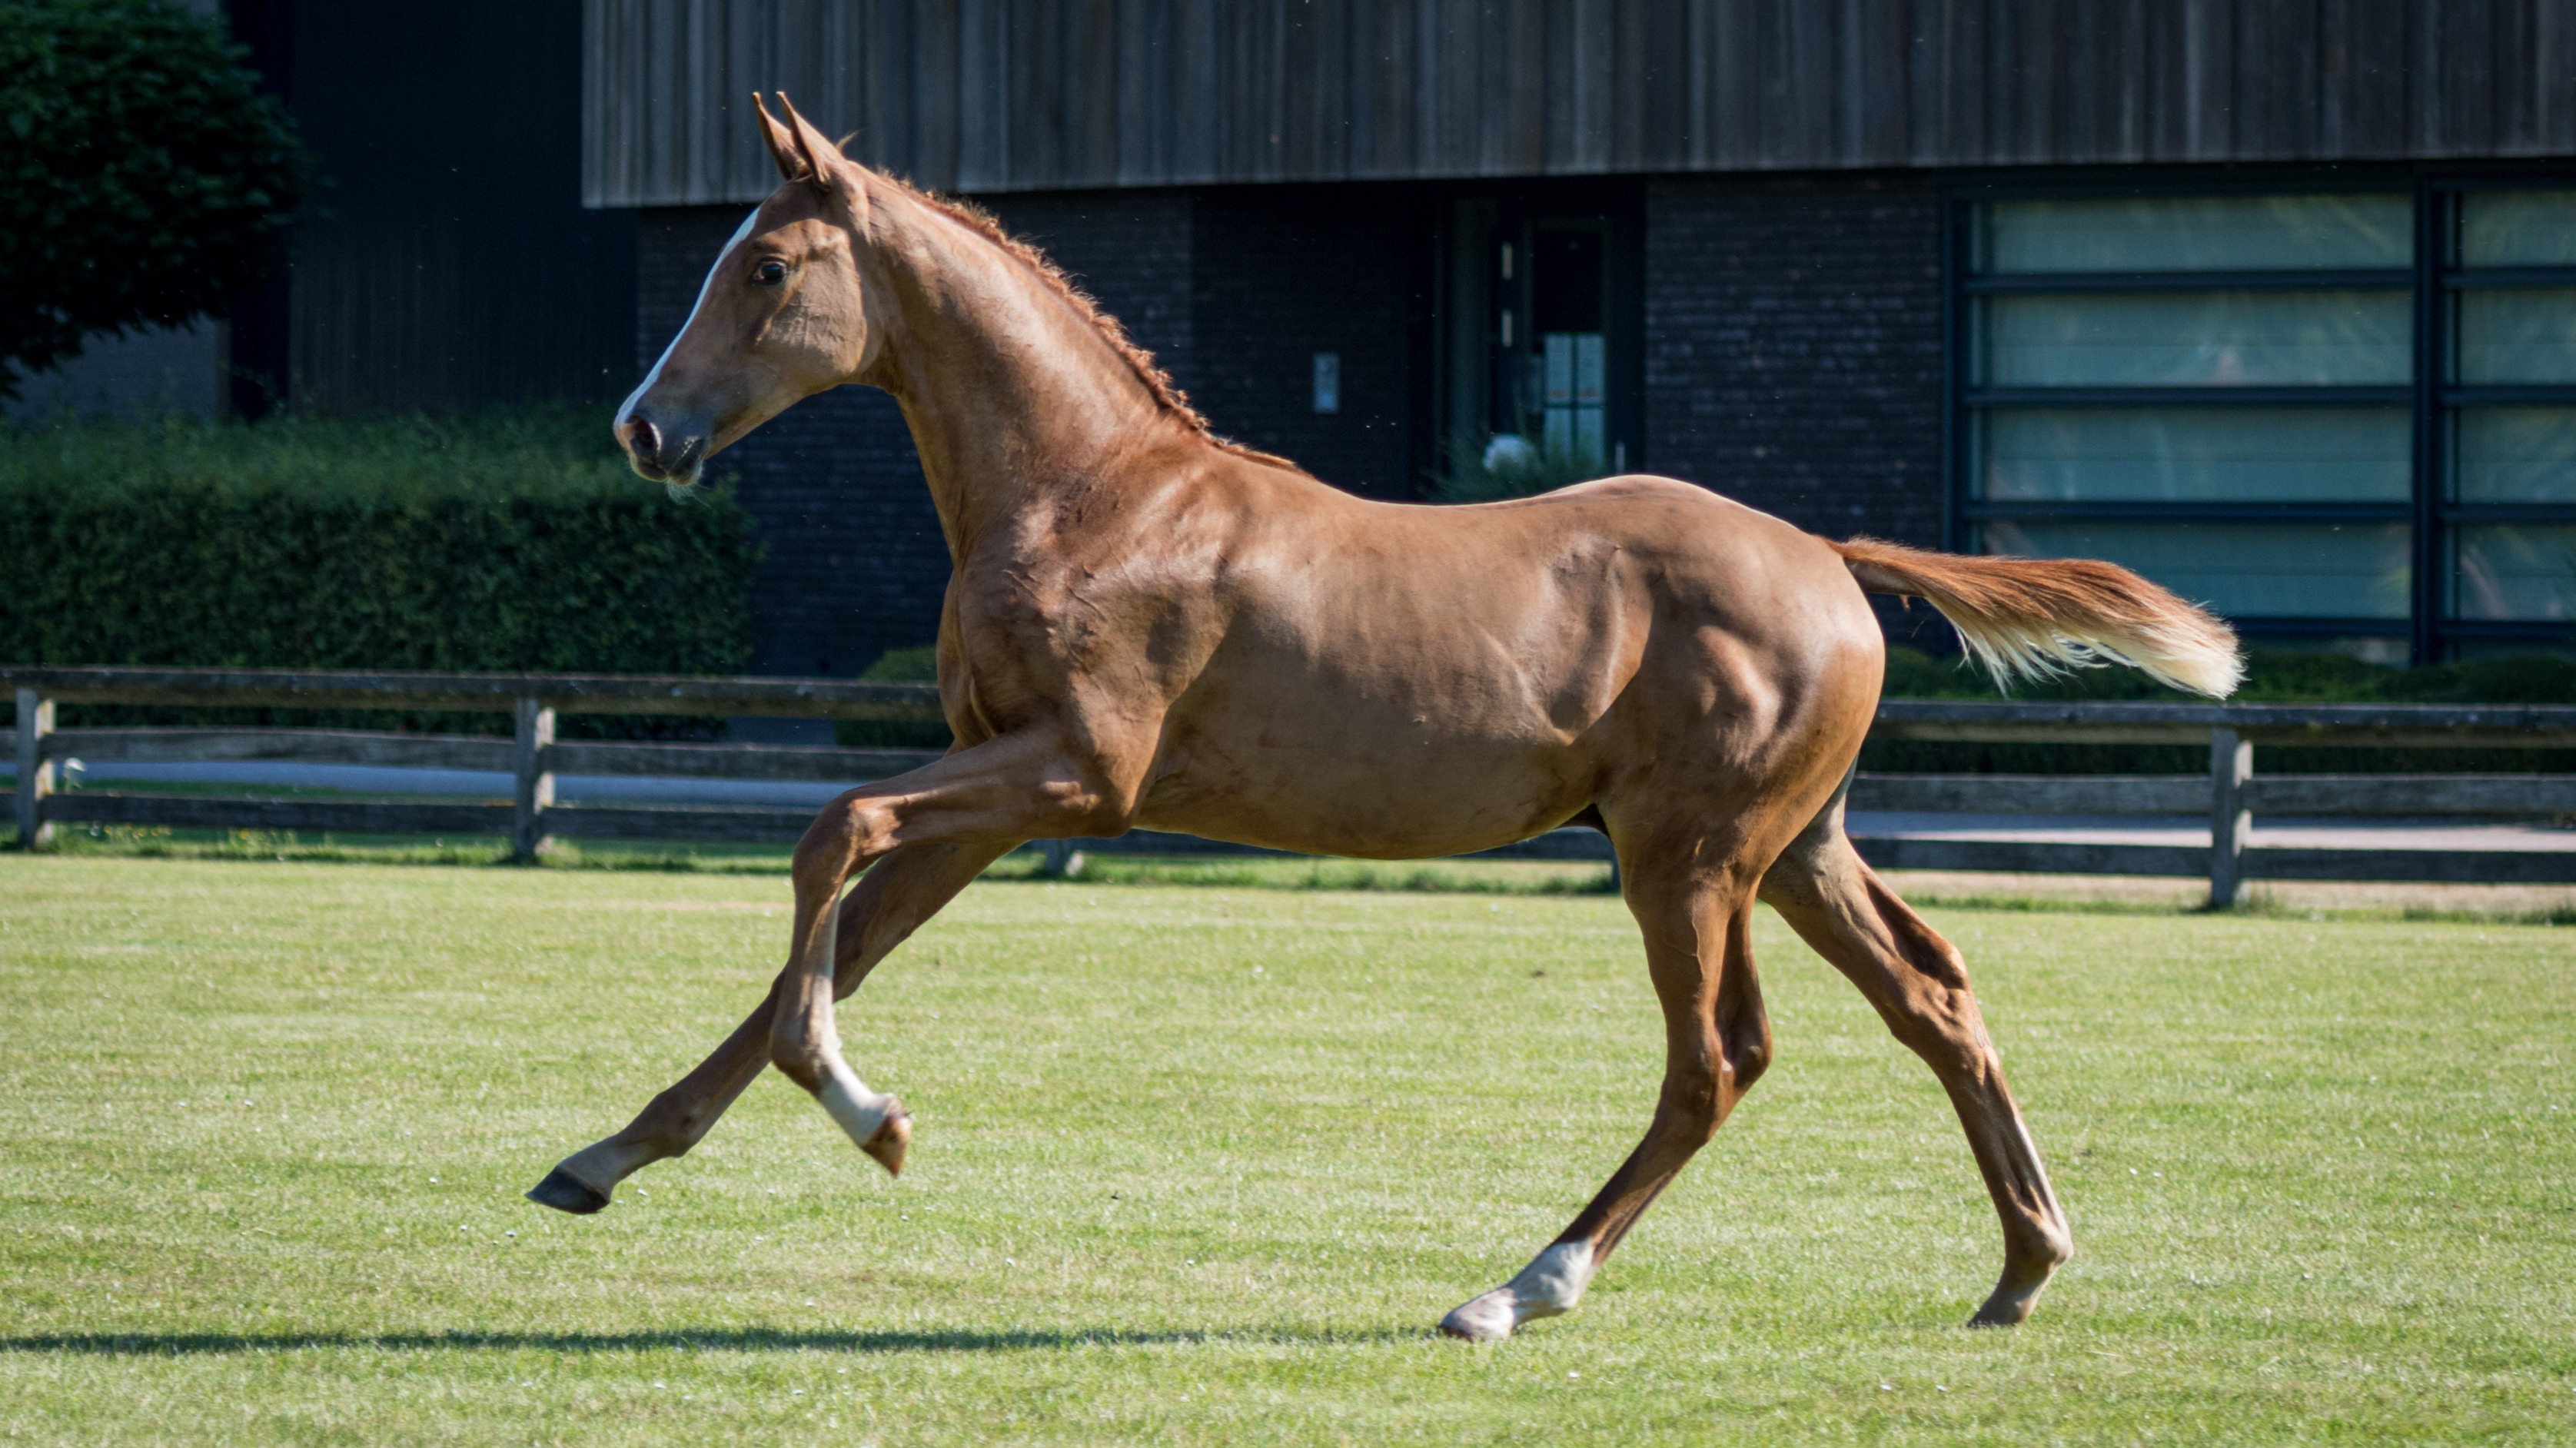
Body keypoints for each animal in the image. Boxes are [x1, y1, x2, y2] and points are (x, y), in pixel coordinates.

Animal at [527, 93, 2241, 1341]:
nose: (643, 430)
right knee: (1932, 997)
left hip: (1687, 855)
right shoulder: (994, 792)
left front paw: (874, 1118)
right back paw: (2021, 1267)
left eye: (765, 269)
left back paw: (1520, 1287)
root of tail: (1827, 555)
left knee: (1719, 1058)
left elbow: (831, 833)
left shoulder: (1077, 778)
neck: (1092, 494)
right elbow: (827, 942)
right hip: (1797, 845)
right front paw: (601, 1159)